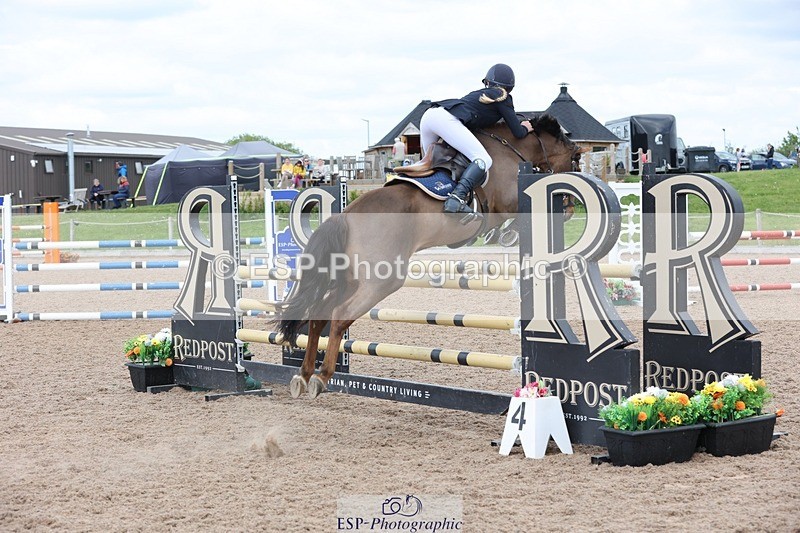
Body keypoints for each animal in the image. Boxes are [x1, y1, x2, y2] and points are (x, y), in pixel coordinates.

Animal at [275, 113, 584, 398]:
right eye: (575, 160)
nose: (570, 210)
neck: (510, 149)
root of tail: (346, 217)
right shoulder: (507, 202)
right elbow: (514, 219)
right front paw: (508, 234)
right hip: (380, 281)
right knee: (339, 316)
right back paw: (321, 376)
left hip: (349, 280)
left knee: (319, 316)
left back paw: (303, 375)